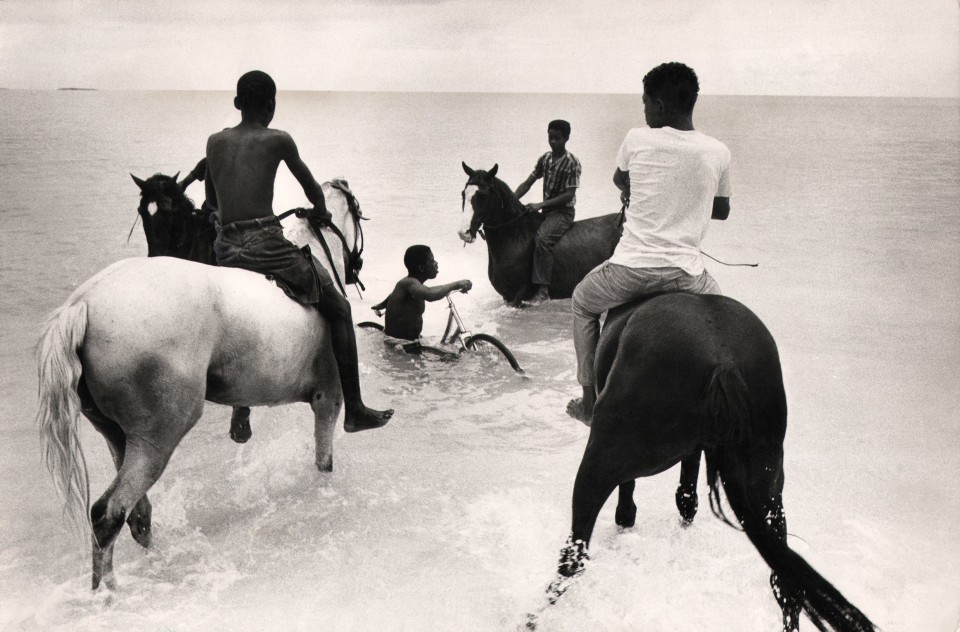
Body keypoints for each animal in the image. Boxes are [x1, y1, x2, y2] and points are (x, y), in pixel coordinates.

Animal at [34, 180, 368, 592]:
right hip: (158, 434)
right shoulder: (329, 399)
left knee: (136, 515)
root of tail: (83, 304)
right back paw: (108, 595)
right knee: (108, 514)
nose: (357, 268)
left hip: (115, 433)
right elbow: (324, 462)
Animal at [532, 294, 876, 632]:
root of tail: (723, 358)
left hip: (607, 455)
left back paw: (537, 614)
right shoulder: (700, 449)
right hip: (766, 481)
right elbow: (687, 493)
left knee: (575, 551)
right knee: (786, 581)